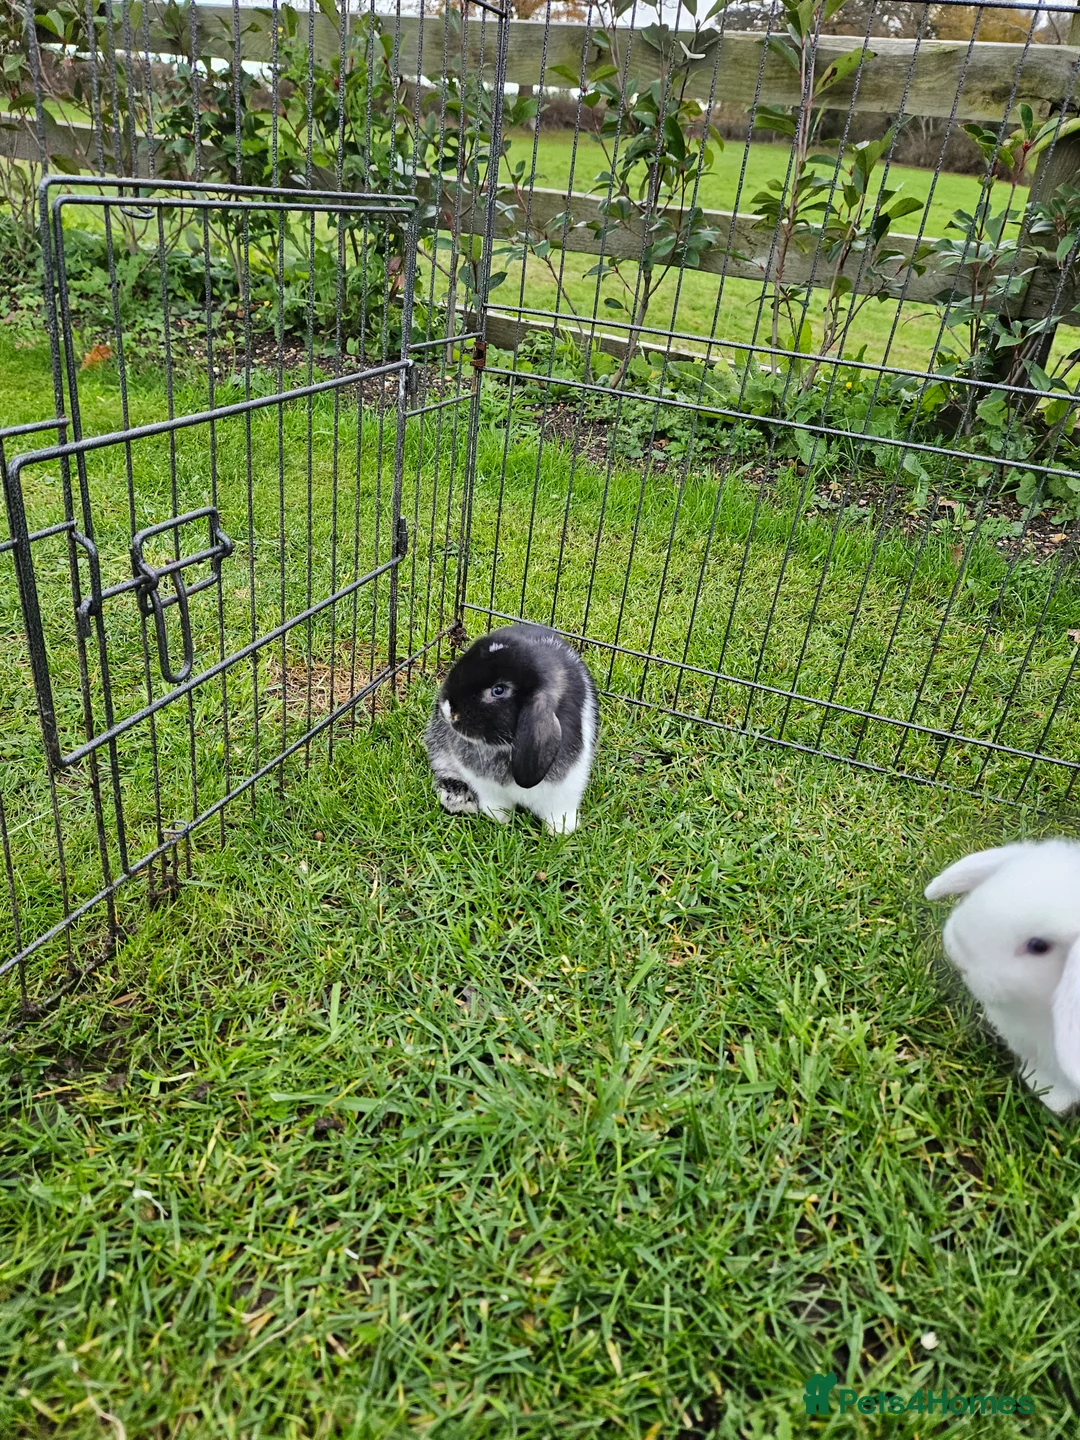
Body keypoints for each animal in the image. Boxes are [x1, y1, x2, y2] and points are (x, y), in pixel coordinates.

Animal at [425, 623, 598, 835]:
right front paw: (499, 819)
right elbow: (497, 806)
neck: (505, 748)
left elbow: (558, 812)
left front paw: (562, 831)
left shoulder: (565, 789)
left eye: (498, 690)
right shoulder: (487, 788)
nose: (448, 709)